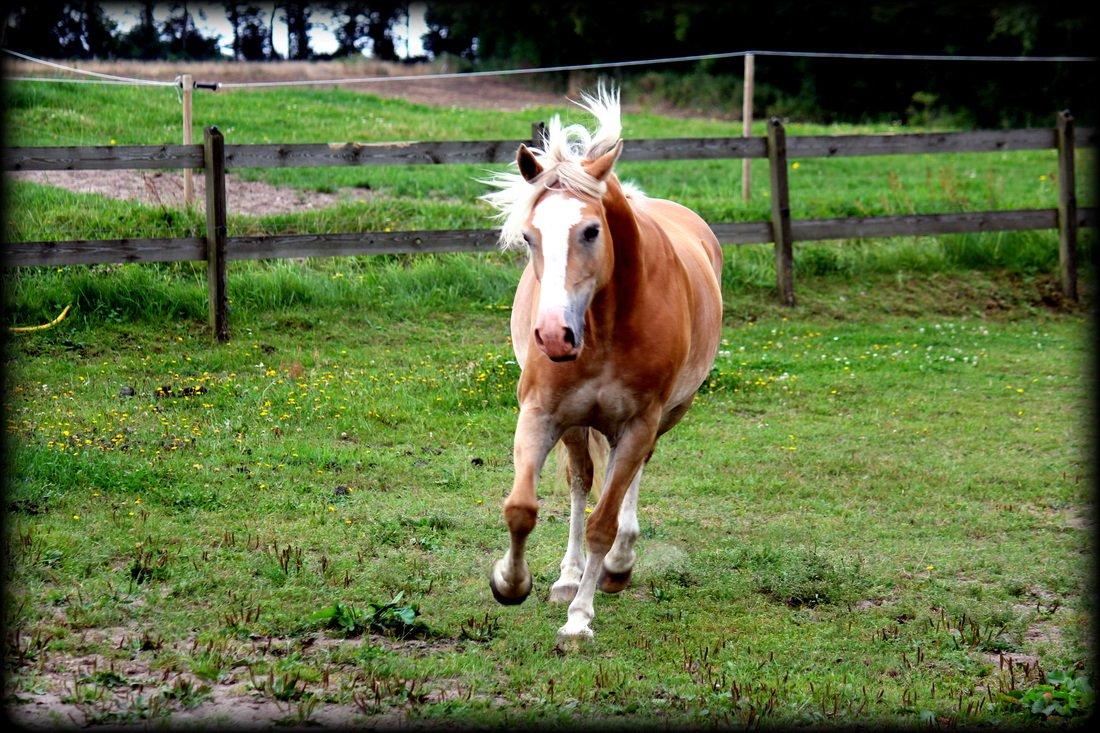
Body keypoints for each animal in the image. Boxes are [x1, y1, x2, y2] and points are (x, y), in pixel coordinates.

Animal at [481, 82, 721, 638]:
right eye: (529, 236)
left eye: (591, 231)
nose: (553, 334)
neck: (607, 327)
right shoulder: (541, 413)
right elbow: (522, 508)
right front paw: (510, 583)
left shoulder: (639, 423)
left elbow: (602, 523)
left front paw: (579, 619)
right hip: (575, 423)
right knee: (580, 481)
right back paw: (568, 578)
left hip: (664, 417)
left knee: (627, 480)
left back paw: (615, 567)